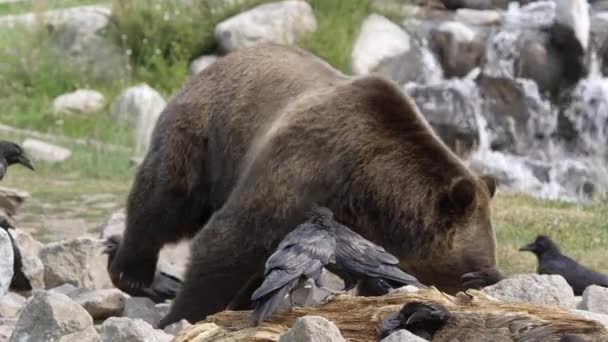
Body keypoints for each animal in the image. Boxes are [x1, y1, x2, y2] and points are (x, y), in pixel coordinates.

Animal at [109, 43, 498, 328]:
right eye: (475, 270)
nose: (494, 276)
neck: (372, 190)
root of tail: (218, 62)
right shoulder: (303, 171)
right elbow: (225, 242)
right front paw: (182, 316)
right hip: (205, 138)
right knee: (165, 201)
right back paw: (136, 274)